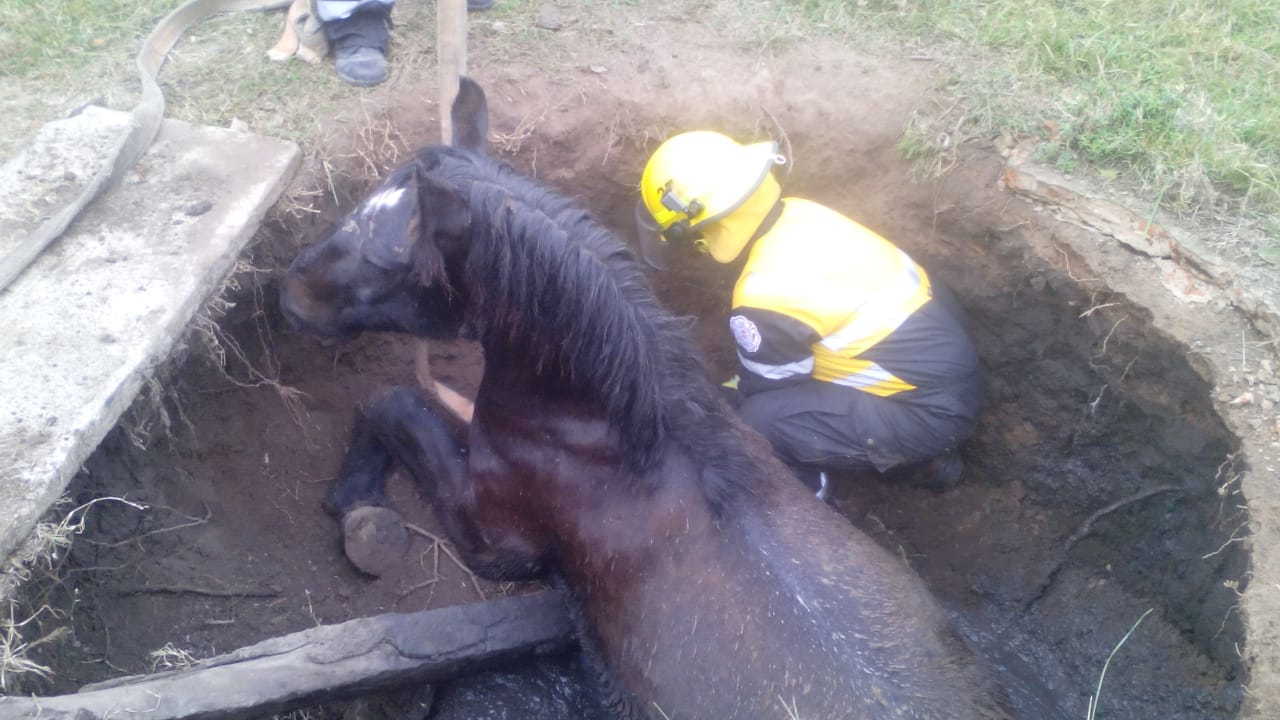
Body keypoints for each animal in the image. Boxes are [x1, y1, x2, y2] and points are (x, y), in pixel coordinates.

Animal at [280, 77, 1009, 720]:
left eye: (388, 262)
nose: (287, 290)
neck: (608, 432)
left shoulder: (497, 540)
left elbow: (391, 402)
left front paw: (355, 504)